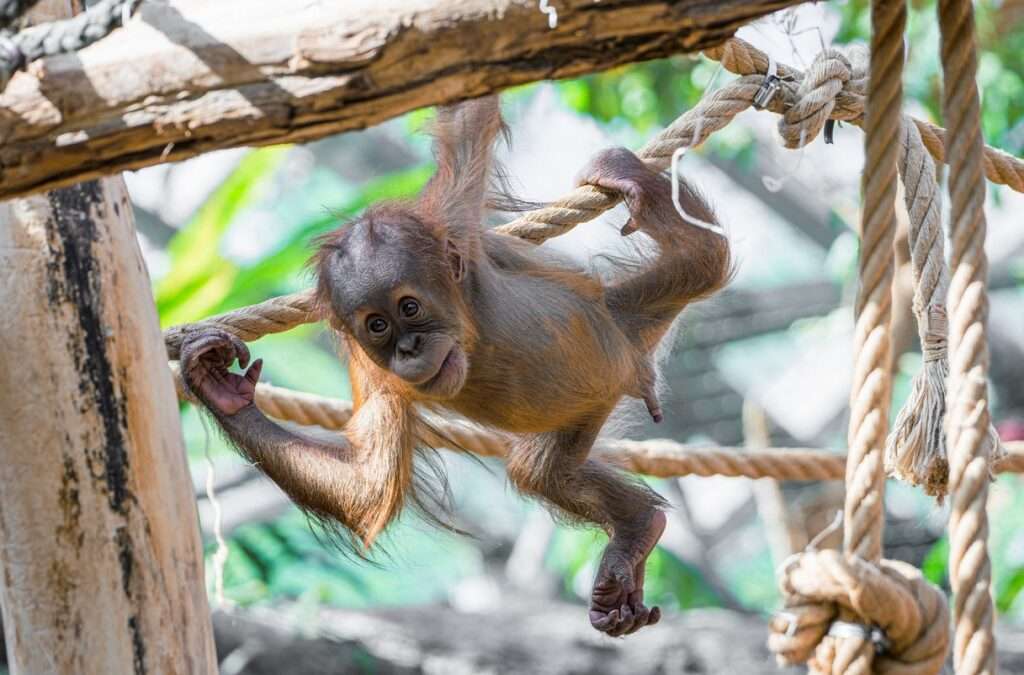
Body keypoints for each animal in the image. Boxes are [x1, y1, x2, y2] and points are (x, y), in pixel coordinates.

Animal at [179, 95, 730, 637]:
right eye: (376, 325)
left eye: (409, 307)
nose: (408, 348)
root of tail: (631, 352)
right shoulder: (372, 371)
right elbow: (367, 488)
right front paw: (220, 389)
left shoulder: (453, 219)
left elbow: (468, 125)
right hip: (592, 397)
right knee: (542, 472)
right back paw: (636, 530)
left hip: (627, 314)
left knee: (705, 254)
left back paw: (631, 177)